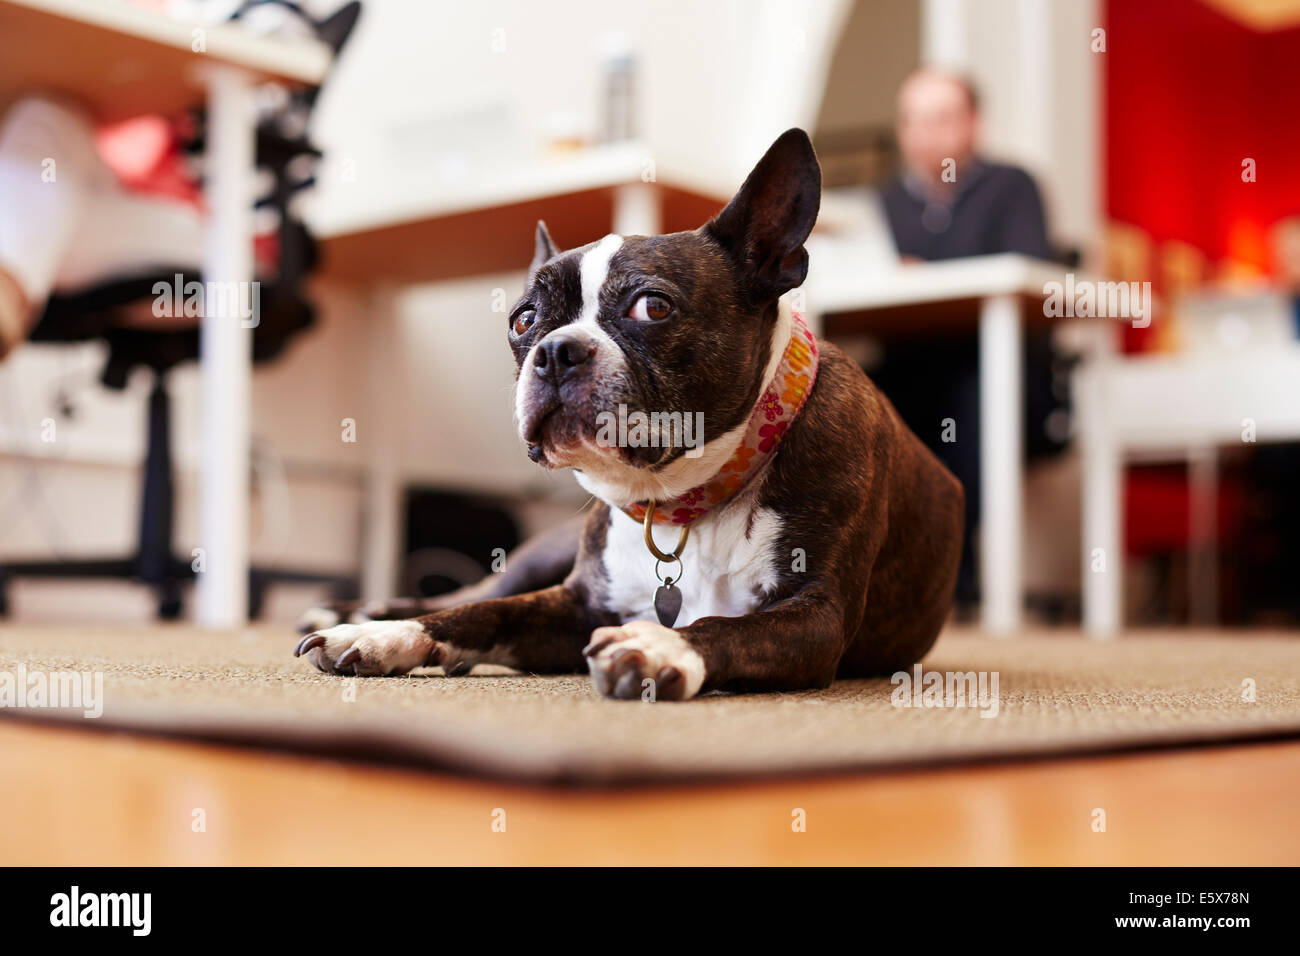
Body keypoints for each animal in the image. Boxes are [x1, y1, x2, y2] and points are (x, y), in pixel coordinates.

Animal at [297, 128, 967, 702]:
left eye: (653, 306)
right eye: (523, 319)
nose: (555, 352)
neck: (682, 504)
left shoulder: (816, 617)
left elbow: (724, 627)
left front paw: (659, 646)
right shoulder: (575, 602)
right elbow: (478, 613)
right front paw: (385, 638)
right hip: (537, 558)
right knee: (478, 589)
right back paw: (359, 612)